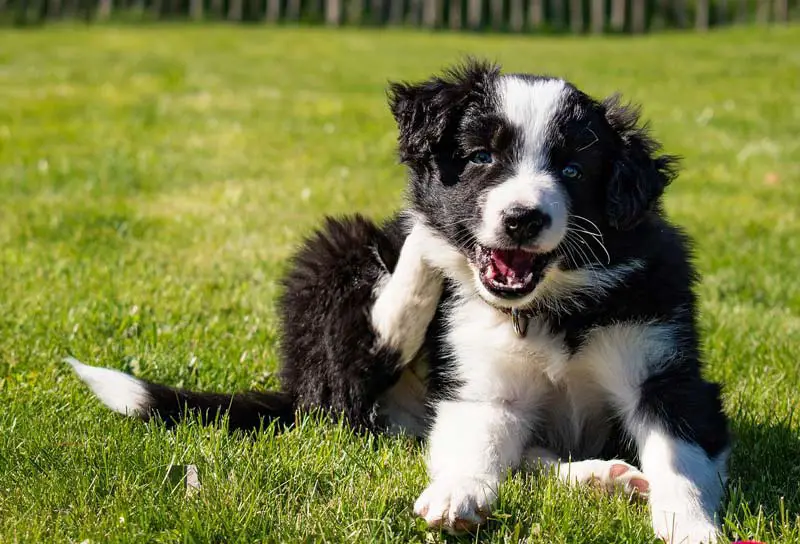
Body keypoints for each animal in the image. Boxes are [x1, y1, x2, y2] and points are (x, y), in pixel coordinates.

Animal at [70, 60, 732, 544]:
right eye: (481, 157)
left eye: (573, 169)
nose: (522, 219)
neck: (550, 306)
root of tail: (295, 389)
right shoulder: (481, 382)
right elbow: (475, 441)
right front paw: (459, 493)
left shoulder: (665, 371)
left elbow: (679, 457)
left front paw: (693, 527)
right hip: (334, 254)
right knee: (361, 368)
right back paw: (423, 247)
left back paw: (603, 476)